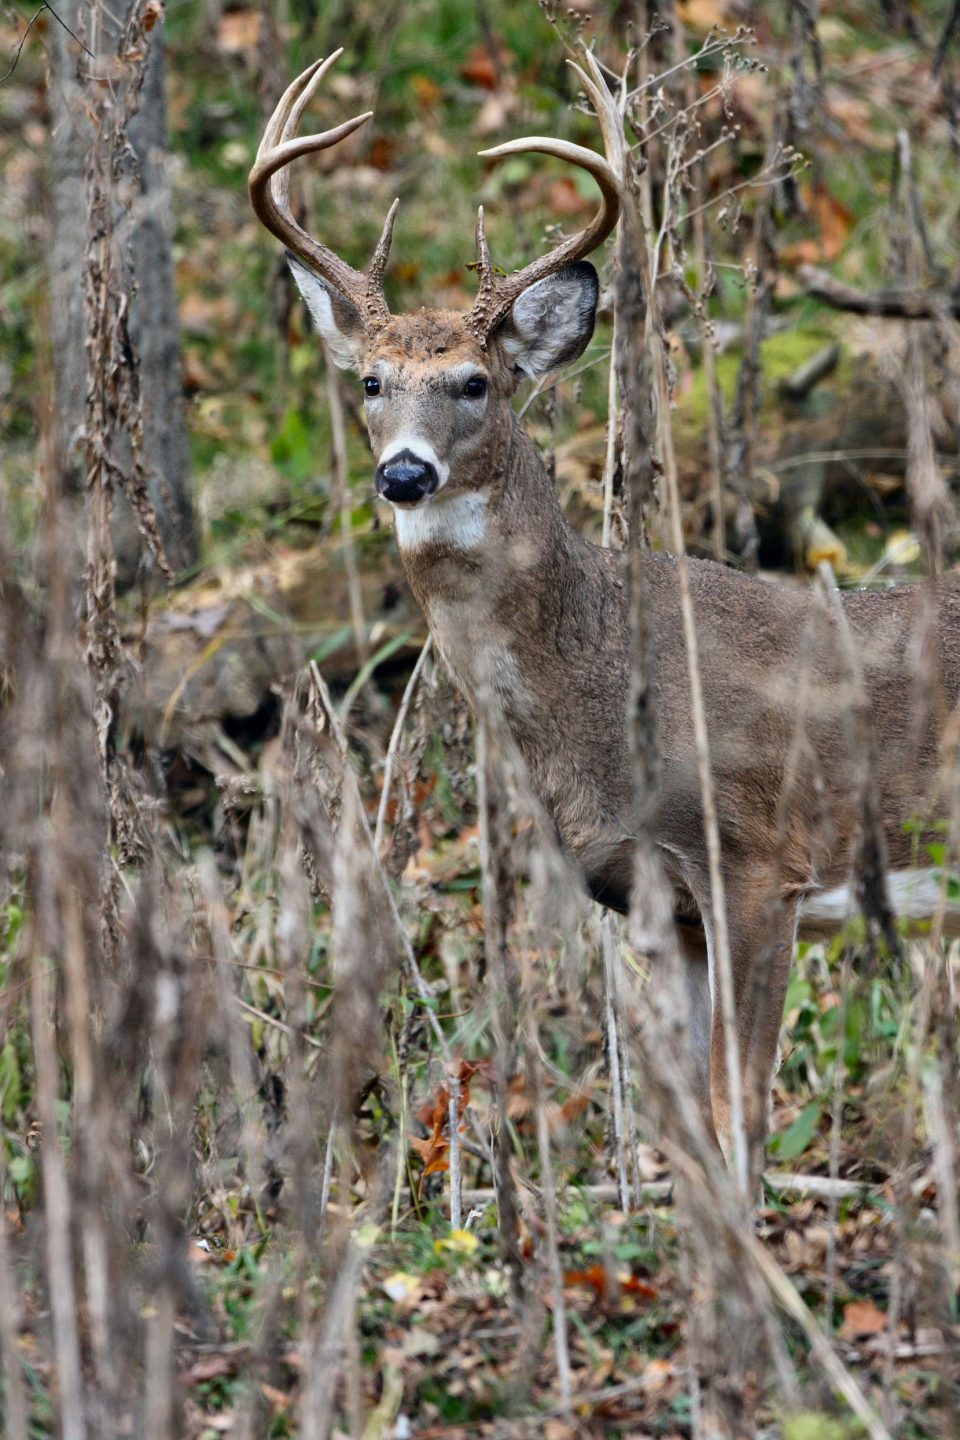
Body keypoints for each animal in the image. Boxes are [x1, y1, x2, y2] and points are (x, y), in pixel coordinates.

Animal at [253, 50, 960, 1169]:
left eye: (476, 381)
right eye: (368, 380)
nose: (404, 473)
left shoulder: (759, 863)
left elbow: (738, 1115)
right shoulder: (656, 903)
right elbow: (694, 1132)